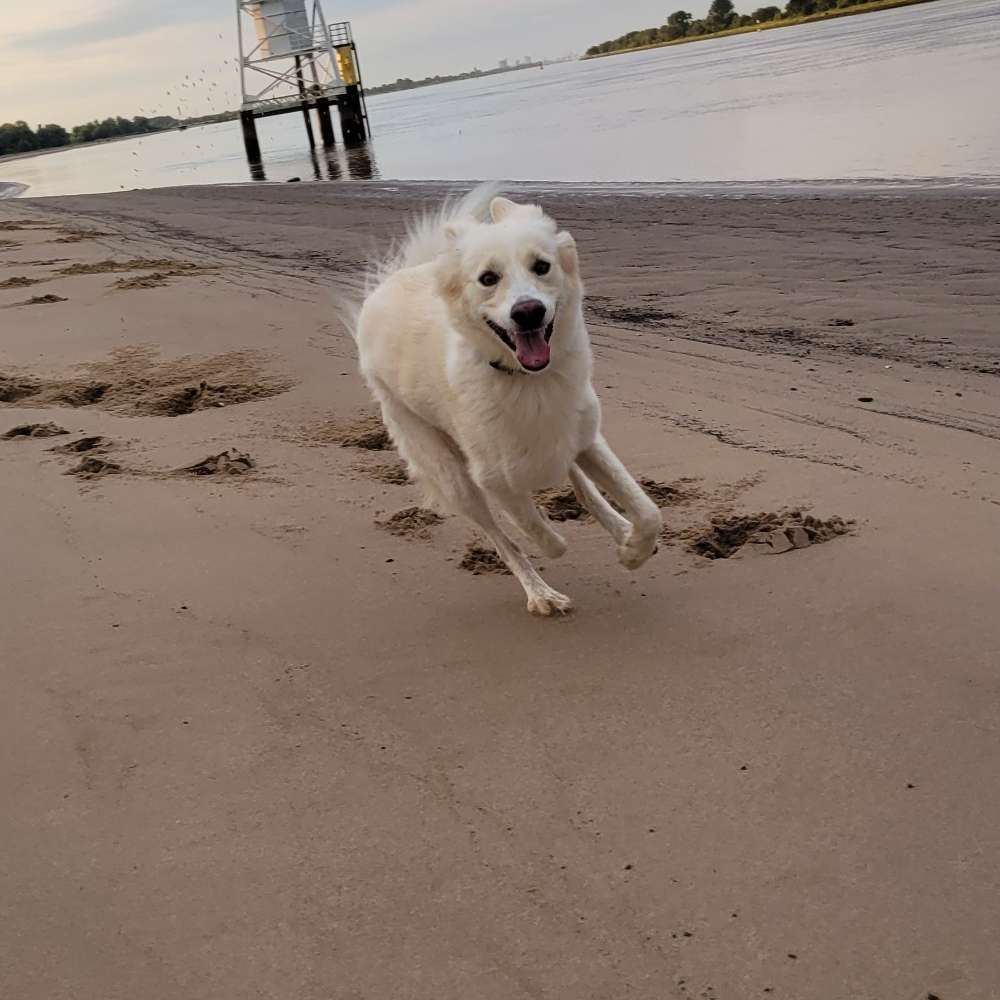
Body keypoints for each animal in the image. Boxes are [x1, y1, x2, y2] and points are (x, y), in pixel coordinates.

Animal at [356, 184, 660, 612]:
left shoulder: (586, 438)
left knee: (580, 484)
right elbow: (539, 535)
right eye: (488, 278)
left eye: (542, 266)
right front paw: (554, 549)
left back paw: (618, 528)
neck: (529, 380)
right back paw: (541, 593)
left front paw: (633, 549)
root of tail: (388, 284)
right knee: (501, 539)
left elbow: (649, 511)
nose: (528, 312)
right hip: (451, 476)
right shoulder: (493, 478)